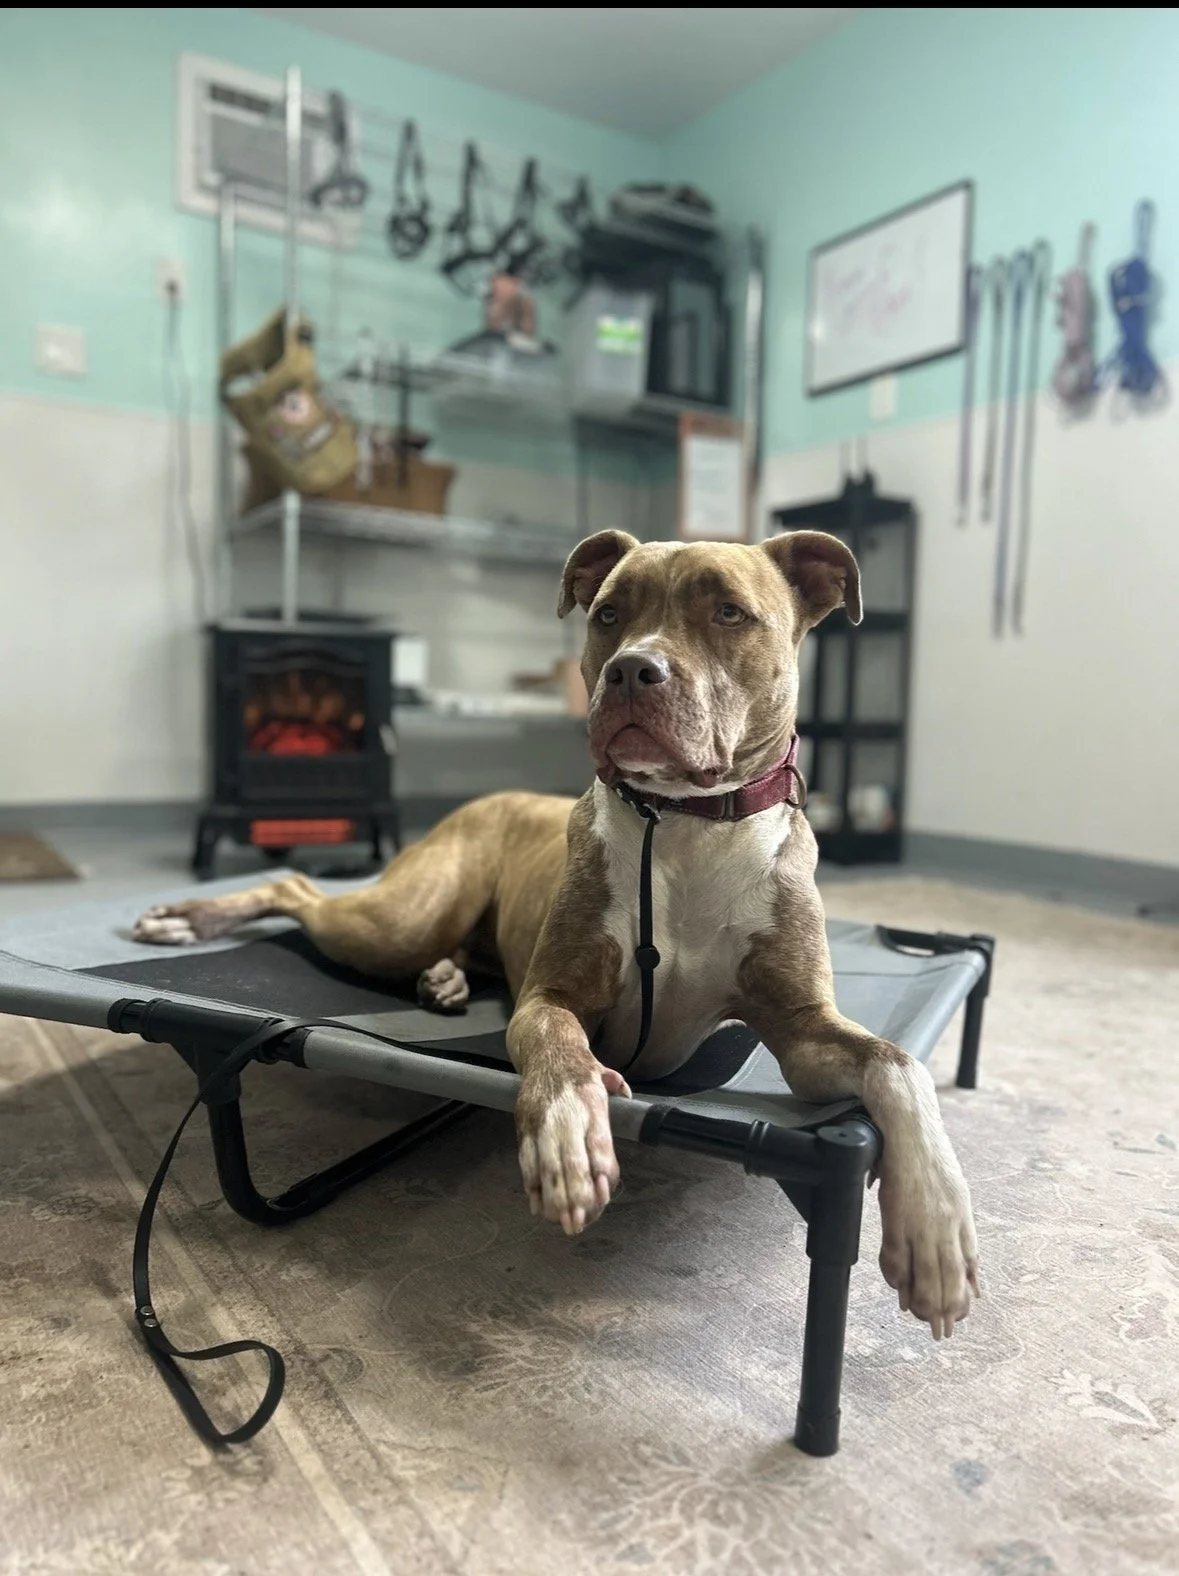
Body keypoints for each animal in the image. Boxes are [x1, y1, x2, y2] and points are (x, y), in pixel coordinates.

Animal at [135, 529, 979, 1339]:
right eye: (608, 613)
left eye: (728, 612)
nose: (633, 670)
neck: (683, 826)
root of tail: (495, 795)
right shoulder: (550, 997)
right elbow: (559, 1049)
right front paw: (569, 1133)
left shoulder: (803, 1028)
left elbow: (896, 1063)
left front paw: (935, 1225)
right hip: (399, 918)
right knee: (298, 888)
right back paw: (183, 917)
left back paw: (442, 980)